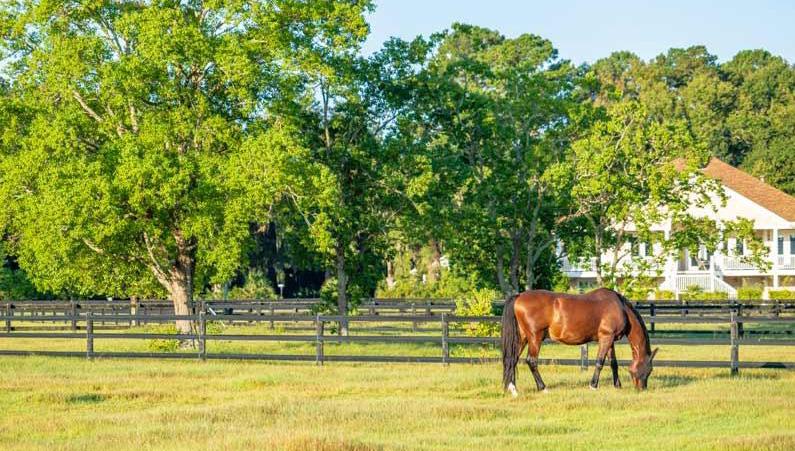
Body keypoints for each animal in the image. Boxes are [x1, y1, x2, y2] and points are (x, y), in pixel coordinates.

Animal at [501, 288, 658, 396]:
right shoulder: (606, 338)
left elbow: (613, 363)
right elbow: (600, 362)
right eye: (649, 370)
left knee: (512, 359)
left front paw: (617, 385)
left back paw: (513, 389)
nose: (642, 388)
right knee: (531, 361)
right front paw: (593, 385)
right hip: (535, 337)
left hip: (522, 338)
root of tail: (519, 296)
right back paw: (543, 388)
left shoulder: (610, 340)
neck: (620, 308)